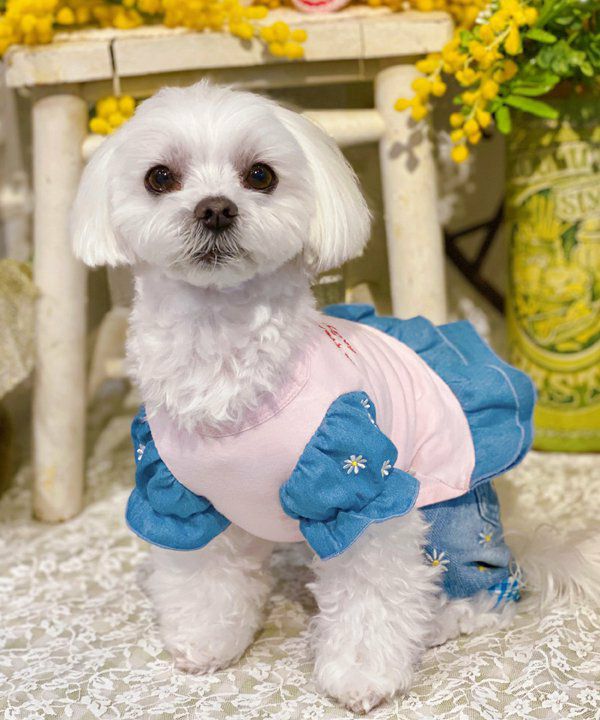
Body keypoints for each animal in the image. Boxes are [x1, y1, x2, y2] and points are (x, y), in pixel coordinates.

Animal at [72, 81, 600, 713]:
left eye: (260, 175)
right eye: (159, 177)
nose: (216, 208)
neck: (223, 349)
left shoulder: (357, 483)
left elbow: (370, 592)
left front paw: (360, 675)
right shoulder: (180, 495)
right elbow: (204, 575)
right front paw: (207, 639)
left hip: (448, 511)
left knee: (488, 586)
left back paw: (444, 616)